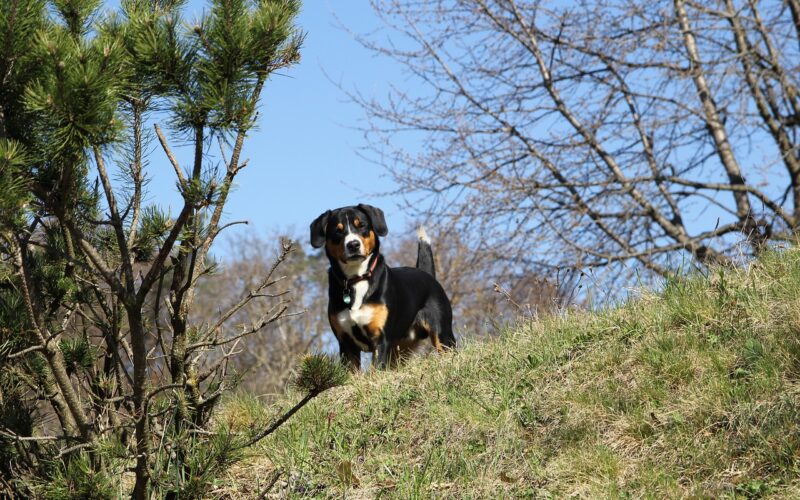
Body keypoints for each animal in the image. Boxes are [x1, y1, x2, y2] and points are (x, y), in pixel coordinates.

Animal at [310, 204, 454, 372]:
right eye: (338, 230)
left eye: (362, 225)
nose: (353, 244)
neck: (356, 279)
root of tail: (426, 274)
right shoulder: (346, 343)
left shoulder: (380, 339)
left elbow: (376, 369)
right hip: (400, 349)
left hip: (442, 334)